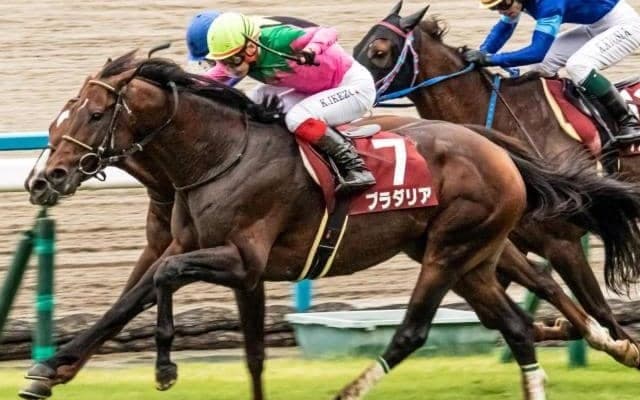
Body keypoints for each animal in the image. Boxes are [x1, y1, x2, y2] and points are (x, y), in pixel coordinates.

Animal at [23, 51, 640, 400]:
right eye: (60, 114)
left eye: (94, 114)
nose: (44, 178)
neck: (217, 155)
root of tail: (493, 144)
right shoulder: (226, 265)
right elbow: (147, 303)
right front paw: (48, 371)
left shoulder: (240, 259)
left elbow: (163, 279)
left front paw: (164, 366)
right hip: (471, 258)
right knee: (515, 322)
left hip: (450, 250)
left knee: (416, 331)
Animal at [353, 1, 640, 359]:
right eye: (357, 48)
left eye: (378, 52)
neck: (509, 118)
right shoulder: (500, 242)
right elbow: (501, 313)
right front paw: (559, 327)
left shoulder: (563, 242)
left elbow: (601, 311)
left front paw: (623, 347)